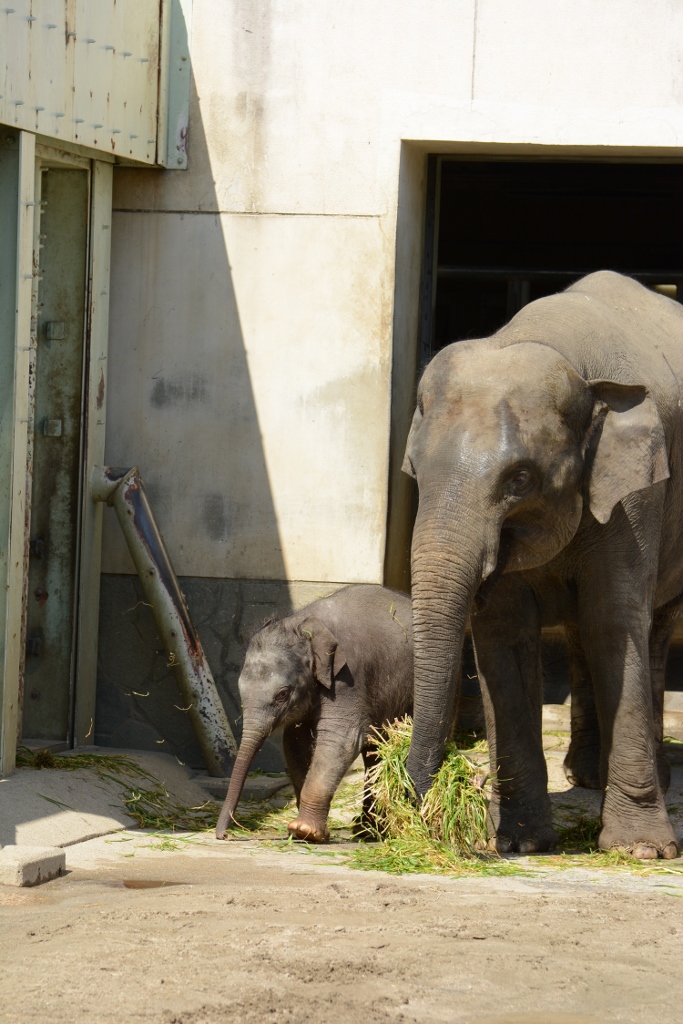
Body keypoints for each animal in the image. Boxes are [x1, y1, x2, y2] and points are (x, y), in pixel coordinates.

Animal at [216, 585, 413, 839]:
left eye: (282, 694)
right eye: (240, 690)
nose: (223, 835)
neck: (303, 625)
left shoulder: (348, 676)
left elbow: (340, 740)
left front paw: (304, 831)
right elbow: (295, 742)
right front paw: (301, 831)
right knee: (376, 752)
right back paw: (366, 830)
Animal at [403, 270, 679, 856]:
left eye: (520, 480)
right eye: (415, 470)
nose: (412, 803)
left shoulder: (636, 494)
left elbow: (616, 622)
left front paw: (641, 850)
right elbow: (505, 633)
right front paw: (519, 843)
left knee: (652, 625)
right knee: (578, 633)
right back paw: (586, 775)